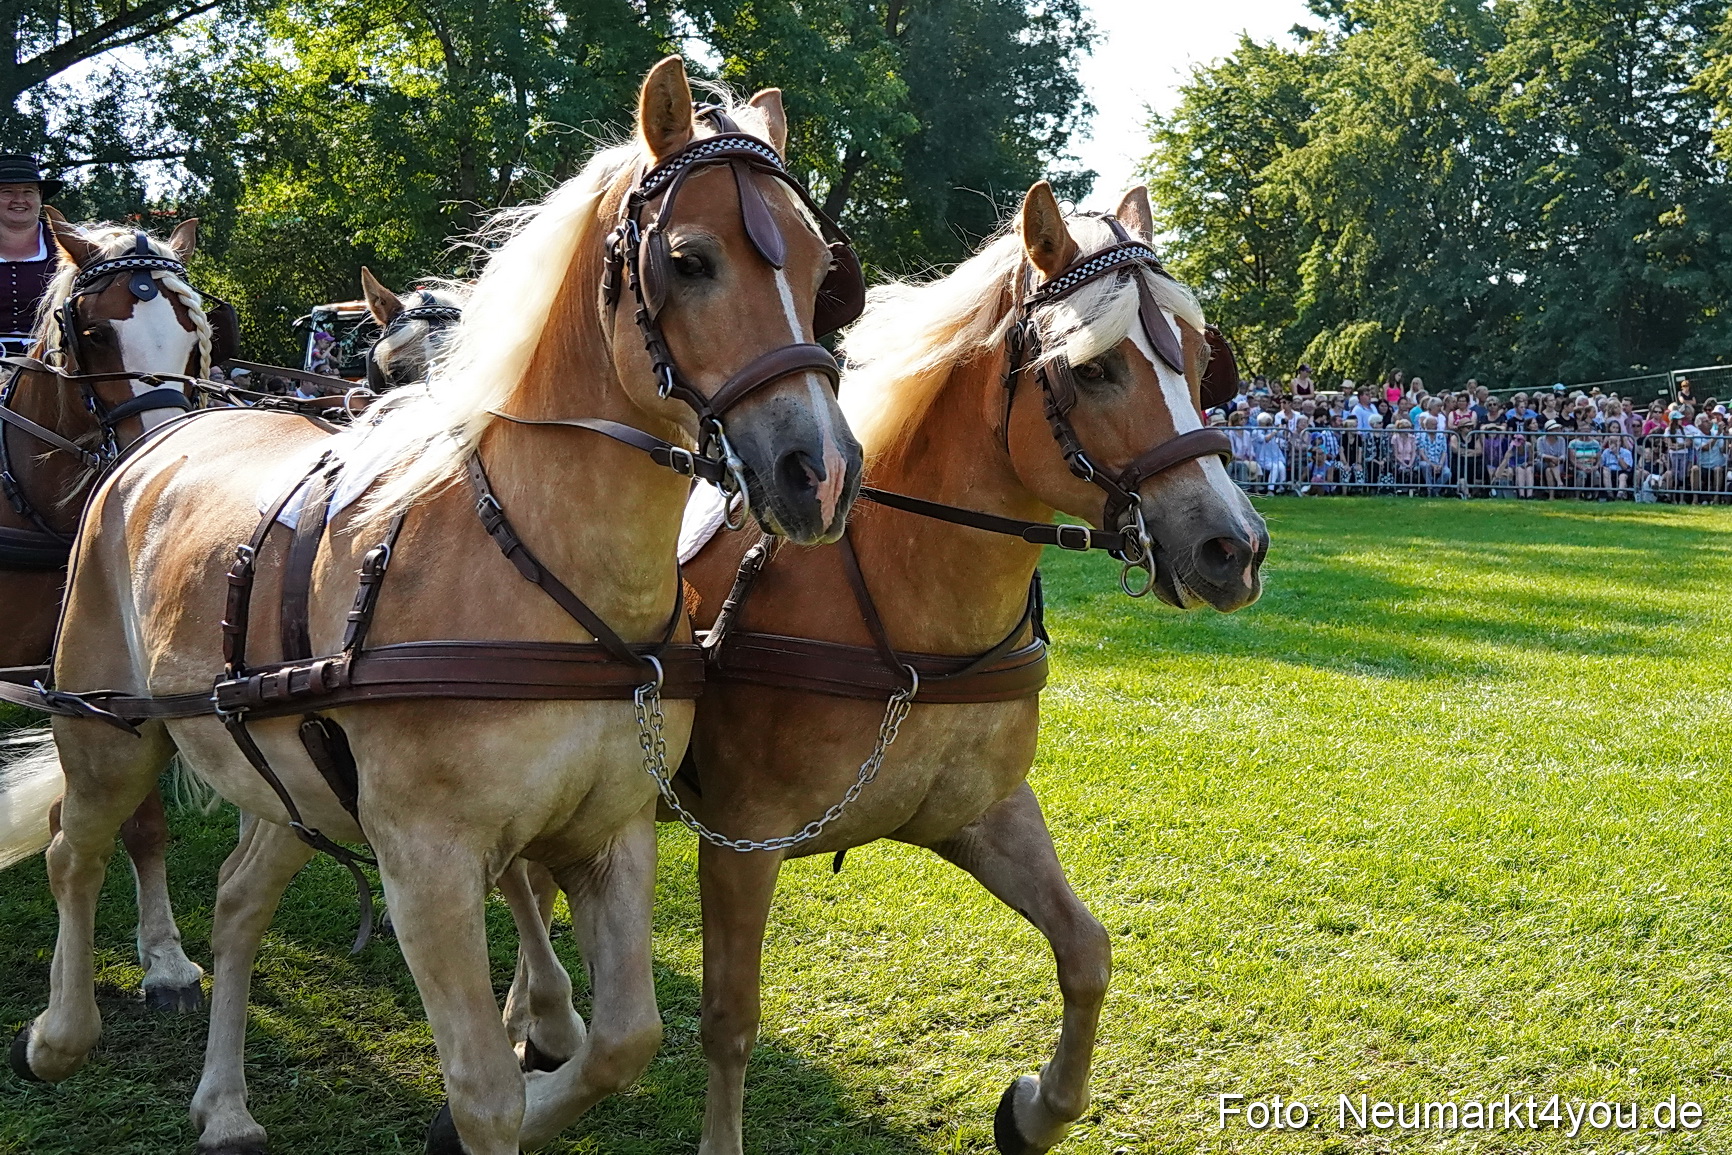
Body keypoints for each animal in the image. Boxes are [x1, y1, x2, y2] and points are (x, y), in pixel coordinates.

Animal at [0, 214, 223, 1013]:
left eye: (195, 336)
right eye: (93, 334)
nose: (160, 452)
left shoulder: (108, 677)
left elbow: (144, 822)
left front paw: (165, 959)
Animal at [668, 181, 1267, 1154]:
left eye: (1193, 359)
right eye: (1093, 370)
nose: (1234, 547)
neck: (906, 598)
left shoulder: (982, 812)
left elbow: (1086, 950)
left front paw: (1037, 1108)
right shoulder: (738, 843)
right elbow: (730, 1021)